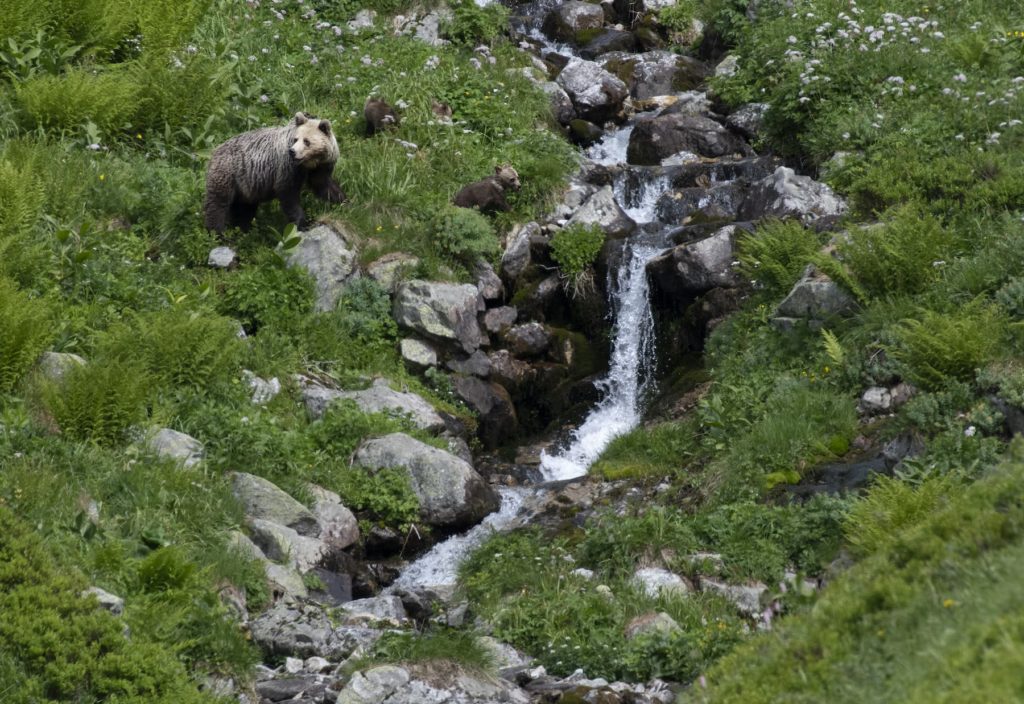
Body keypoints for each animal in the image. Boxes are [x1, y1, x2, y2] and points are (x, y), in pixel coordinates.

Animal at [202, 112, 344, 233]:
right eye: (295, 139)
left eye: (306, 141)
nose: (292, 152)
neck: (309, 163)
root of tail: (214, 152)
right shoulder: (288, 167)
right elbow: (288, 193)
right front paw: (302, 223)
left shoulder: (321, 167)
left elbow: (324, 186)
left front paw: (342, 201)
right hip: (228, 172)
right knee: (218, 204)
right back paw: (217, 233)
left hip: (246, 186)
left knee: (244, 209)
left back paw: (242, 229)